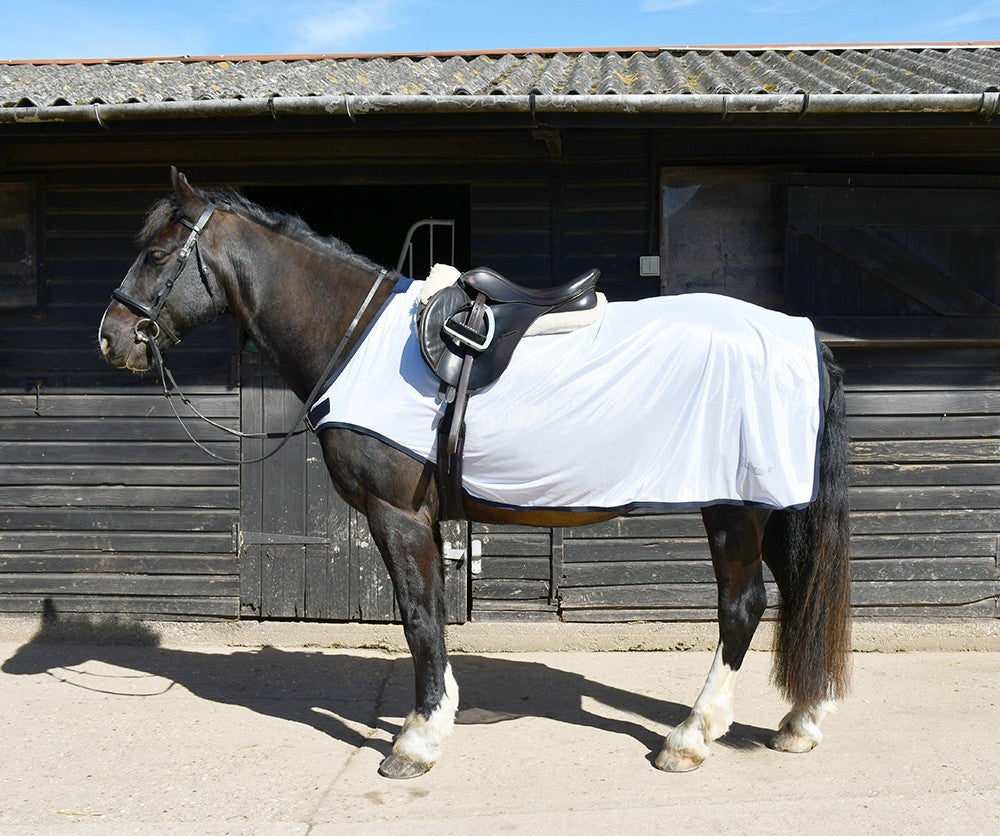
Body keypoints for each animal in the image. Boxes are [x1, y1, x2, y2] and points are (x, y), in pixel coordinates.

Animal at [98, 168, 851, 779]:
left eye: (157, 254)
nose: (112, 336)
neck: (355, 337)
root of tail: (800, 336)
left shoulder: (397, 514)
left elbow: (418, 617)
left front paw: (417, 740)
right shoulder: (418, 519)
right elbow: (428, 615)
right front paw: (437, 718)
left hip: (734, 508)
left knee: (743, 606)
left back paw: (690, 736)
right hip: (770, 507)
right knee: (798, 590)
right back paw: (799, 722)